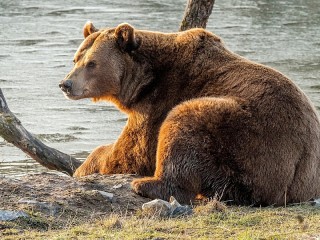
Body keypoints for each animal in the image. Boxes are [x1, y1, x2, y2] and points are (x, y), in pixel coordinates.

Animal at [59, 21, 320, 205]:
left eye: (91, 63)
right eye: (75, 58)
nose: (65, 84)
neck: (142, 81)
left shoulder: (158, 99)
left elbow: (132, 151)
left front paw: (84, 166)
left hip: (250, 139)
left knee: (183, 122)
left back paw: (146, 184)